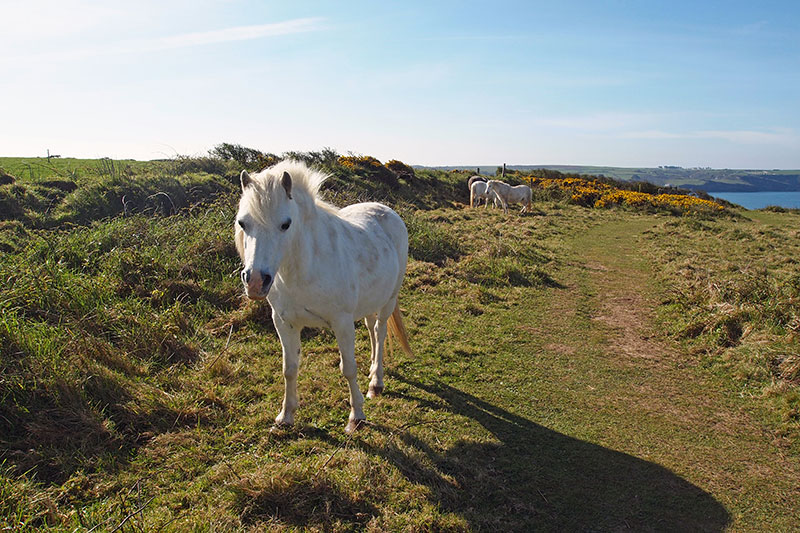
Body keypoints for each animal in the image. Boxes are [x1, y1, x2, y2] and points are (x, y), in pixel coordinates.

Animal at [234, 159, 412, 432]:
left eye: (285, 224)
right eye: (243, 223)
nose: (255, 281)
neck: (305, 268)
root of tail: (386, 210)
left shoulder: (342, 323)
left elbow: (348, 368)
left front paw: (356, 416)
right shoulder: (284, 323)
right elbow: (289, 369)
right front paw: (285, 416)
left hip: (388, 300)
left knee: (380, 332)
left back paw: (376, 382)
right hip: (370, 302)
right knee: (372, 330)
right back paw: (372, 371)